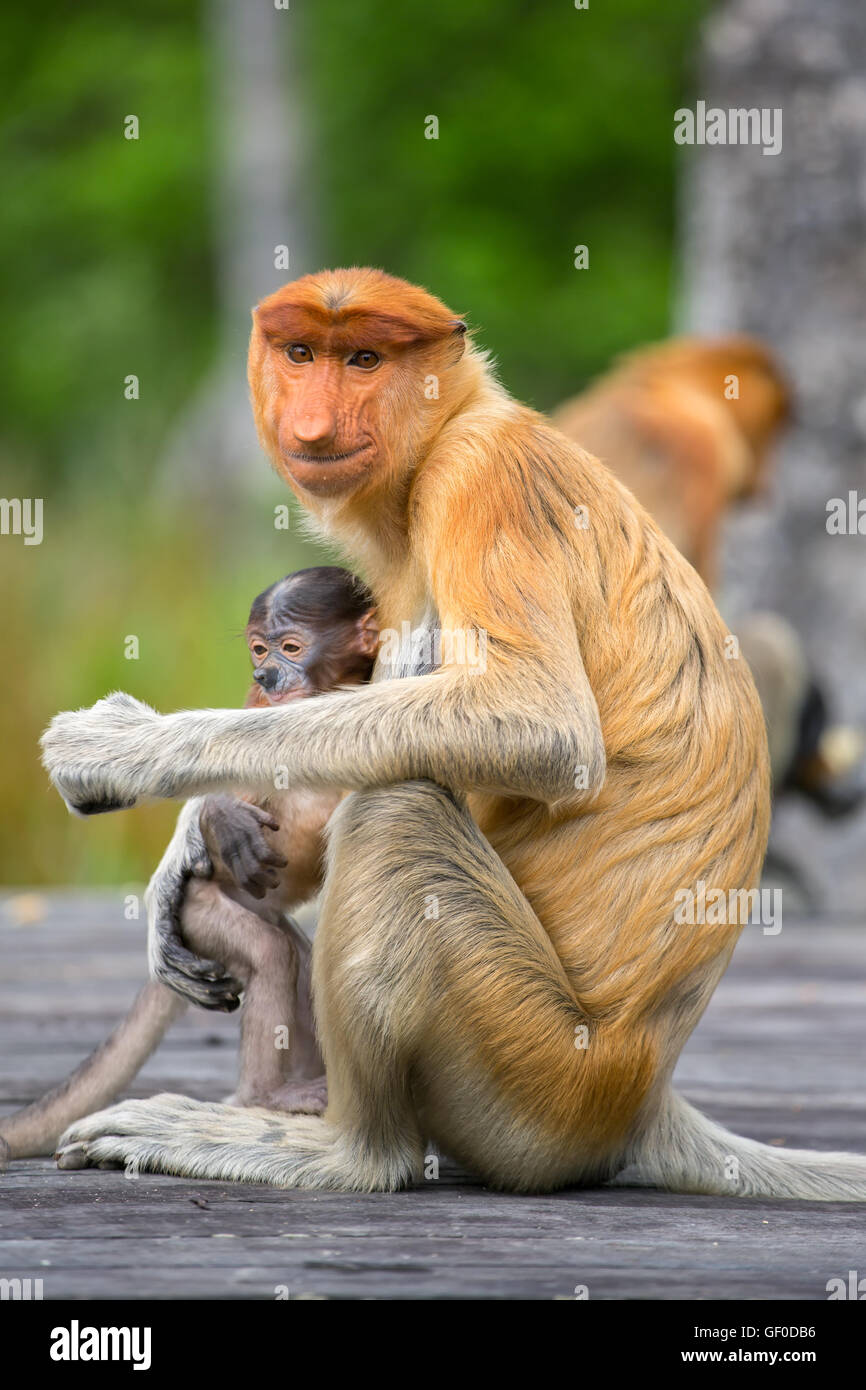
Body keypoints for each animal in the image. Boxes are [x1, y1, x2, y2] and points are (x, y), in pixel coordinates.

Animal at [0, 566, 378, 1168]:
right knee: (269, 954)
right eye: (259, 649)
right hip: (201, 910)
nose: (266, 673)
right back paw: (265, 1096)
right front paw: (216, 817)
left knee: (294, 953)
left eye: (291, 647)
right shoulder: (266, 709)